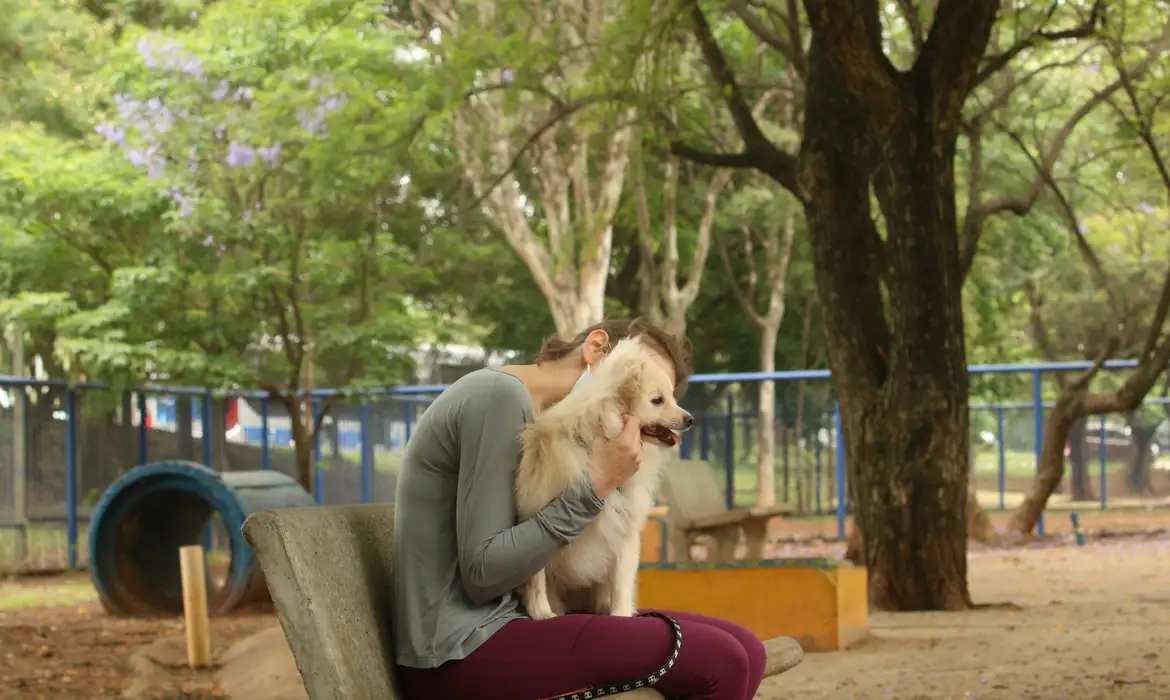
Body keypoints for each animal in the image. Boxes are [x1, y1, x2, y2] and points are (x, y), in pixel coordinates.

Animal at [517, 339, 687, 618]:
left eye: (672, 397)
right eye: (657, 400)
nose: (690, 419)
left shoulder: (624, 532)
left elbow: (621, 583)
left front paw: (621, 615)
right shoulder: (535, 516)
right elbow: (536, 578)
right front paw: (542, 613)